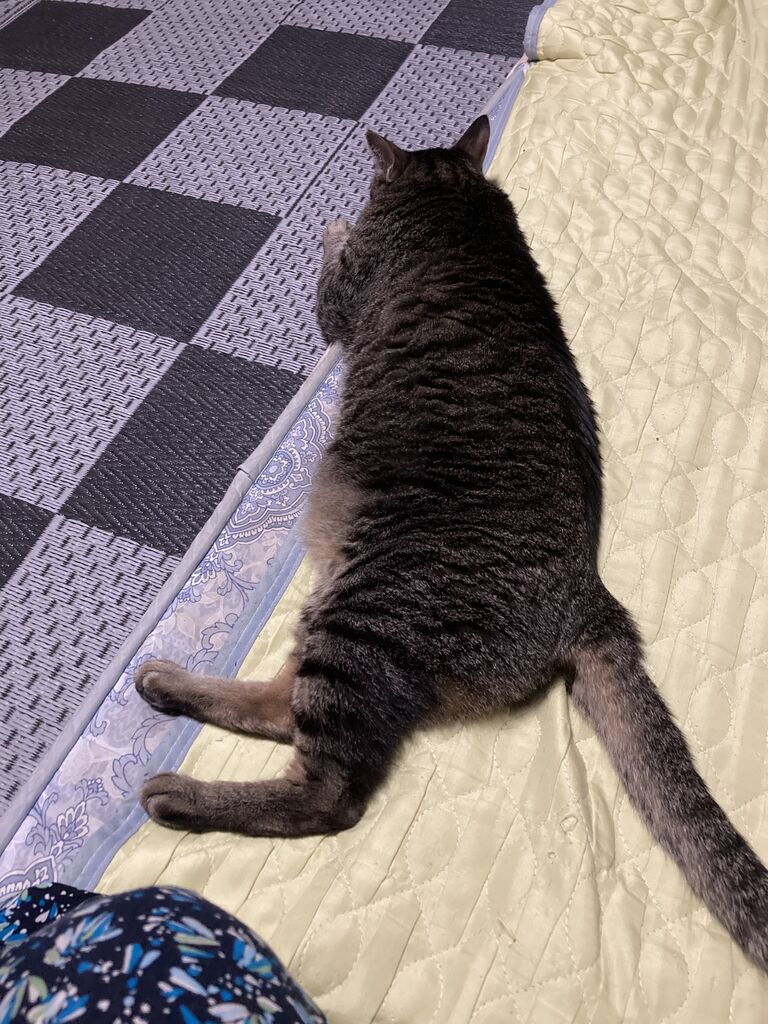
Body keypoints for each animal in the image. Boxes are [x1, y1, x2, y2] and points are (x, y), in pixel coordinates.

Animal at [135, 116, 768, 970]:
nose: (357, 201)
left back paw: (177, 794)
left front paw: (334, 224)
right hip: (332, 602)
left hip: (360, 619)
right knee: (280, 710)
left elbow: (333, 273)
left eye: (377, 189)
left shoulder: (343, 300)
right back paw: (166, 687)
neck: (448, 192)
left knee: (327, 793)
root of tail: (591, 593)